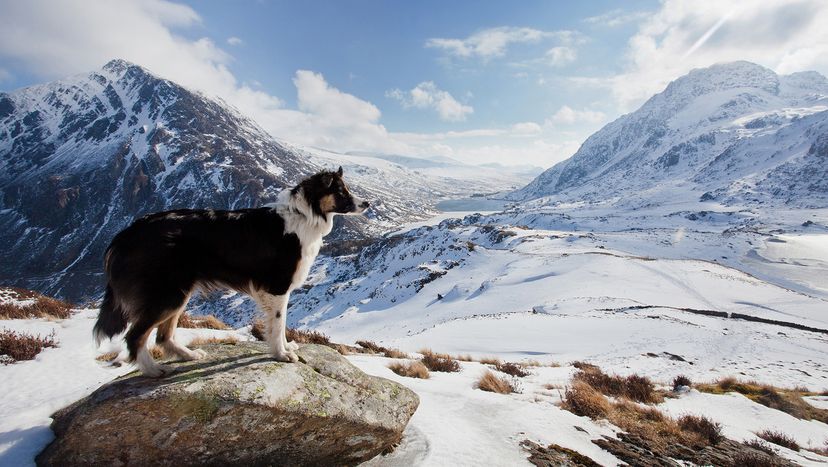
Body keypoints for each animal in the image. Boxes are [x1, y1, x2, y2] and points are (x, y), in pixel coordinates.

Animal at [92, 166, 368, 378]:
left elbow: (278, 326)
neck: (303, 215)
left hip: (179, 292)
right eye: (341, 191)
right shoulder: (278, 286)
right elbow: (278, 324)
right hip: (167, 294)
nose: (366, 203)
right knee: (135, 336)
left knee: (163, 336)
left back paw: (189, 355)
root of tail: (127, 233)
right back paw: (153, 370)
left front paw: (286, 347)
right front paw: (281, 354)